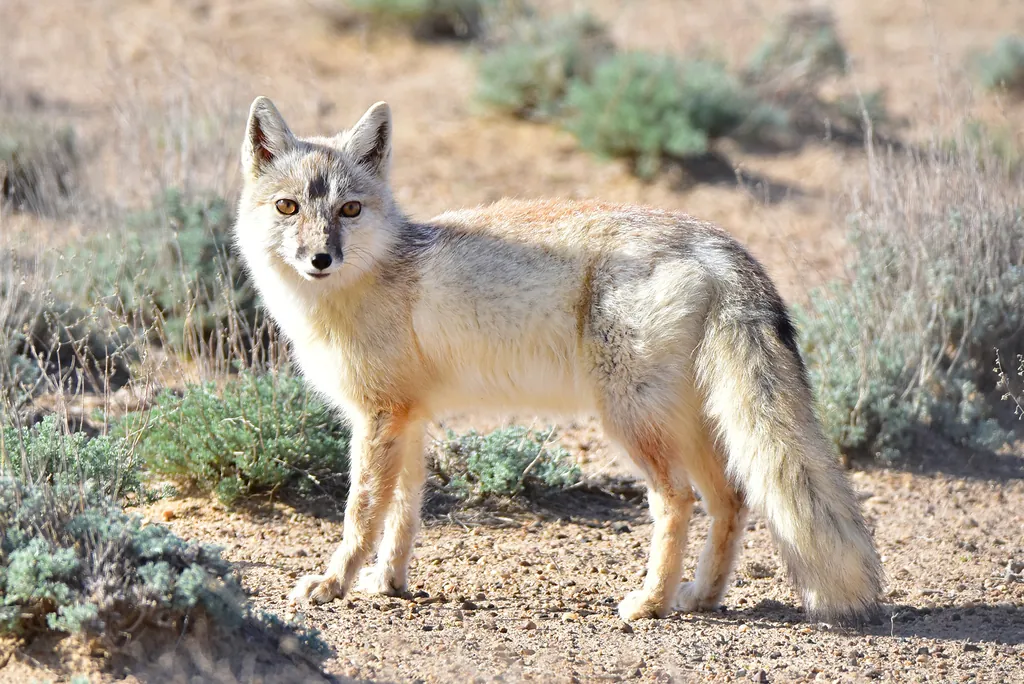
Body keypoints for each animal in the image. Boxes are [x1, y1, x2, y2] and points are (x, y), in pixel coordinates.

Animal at [232, 97, 883, 623]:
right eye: (288, 207)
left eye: (349, 211)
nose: (320, 259)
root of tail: (710, 239)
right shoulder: (407, 417)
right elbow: (403, 514)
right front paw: (387, 584)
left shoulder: (379, 417)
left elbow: (361, 513)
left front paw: (333, 583)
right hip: (693, 422)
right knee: (733, 498)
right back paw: (699, 597)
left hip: (632, 421)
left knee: (679, 500)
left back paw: (650, 603)